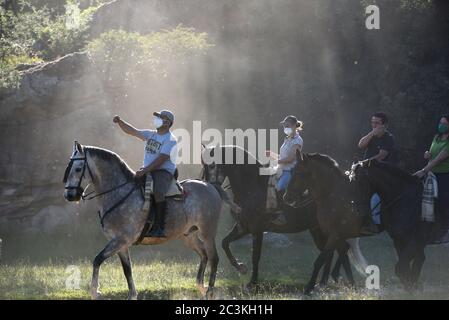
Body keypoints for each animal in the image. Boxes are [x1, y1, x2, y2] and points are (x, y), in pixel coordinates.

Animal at [62, 141, 223, 298]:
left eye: (78, 169)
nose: (69, 195)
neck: (119, 193)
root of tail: (209, 186)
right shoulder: (120, 244)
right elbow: (127, 270)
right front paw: (132, 295)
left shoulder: (122, 240)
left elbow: (97, 260)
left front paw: (95, 291)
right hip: (188, 236)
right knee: (204, 255)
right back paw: (201, 285)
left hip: (207, 233)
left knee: (213, 258)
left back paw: (209, 291)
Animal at [201, 146, 366, 288]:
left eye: (212, 165)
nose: (209, 186)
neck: (253, 186)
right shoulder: (243, 227)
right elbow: (224, 243)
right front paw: (241, 268)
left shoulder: (257, 230)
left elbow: (255, 256)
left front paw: (252, 282)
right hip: (318, 230)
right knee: (336, 250)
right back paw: (325, 282)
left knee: (339, 249)